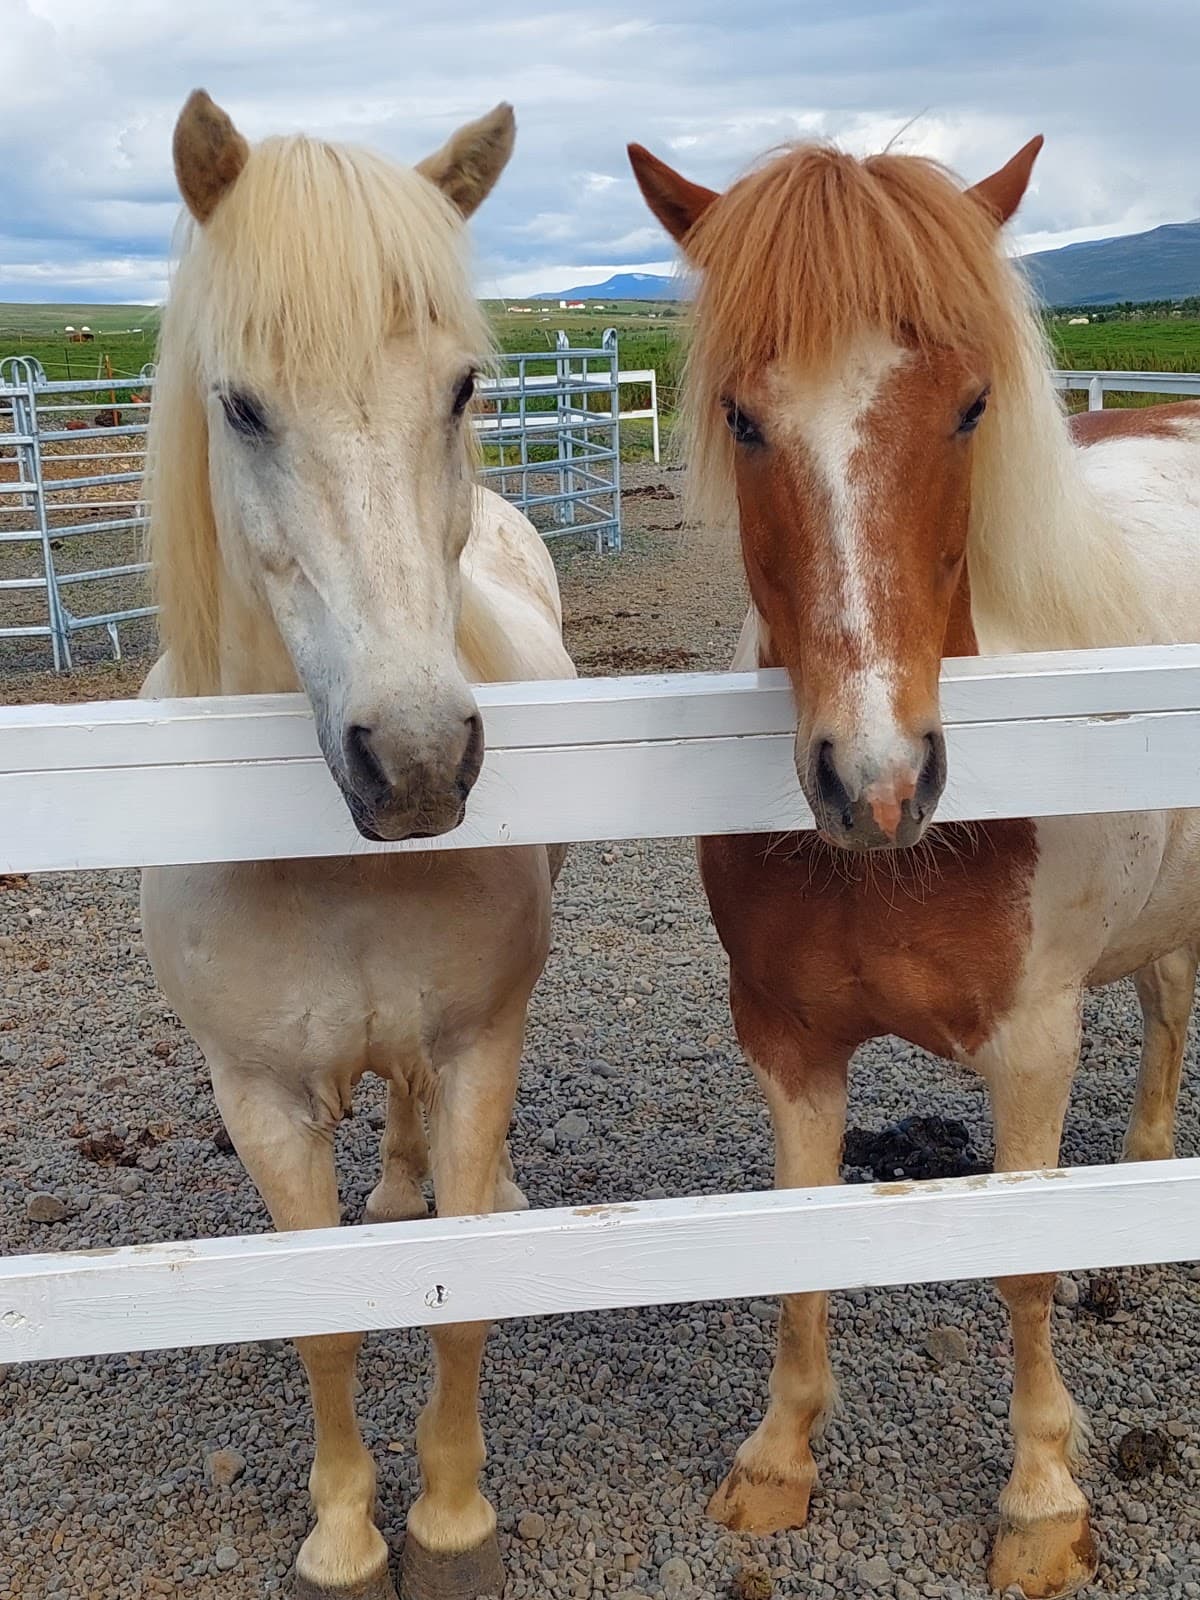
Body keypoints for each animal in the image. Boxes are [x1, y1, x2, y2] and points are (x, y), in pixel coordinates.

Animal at [140, 91, 574, 1600]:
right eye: (242, 405)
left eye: (463, 388)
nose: (421, 761)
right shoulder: (258, 1096)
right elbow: (323, 1317)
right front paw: (342, 1532)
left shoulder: (481, 1039)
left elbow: (462, 1295)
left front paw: (449, 1520)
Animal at [629, 133, 1200, 1597]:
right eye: (742, 419)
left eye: (970, 409)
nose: (874, 782)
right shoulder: (784, 1037)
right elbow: (797, 1239)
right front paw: (779, 1460)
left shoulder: (1034, 1044)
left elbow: (1022, 1269)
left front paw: (1043, 1505)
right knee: (1170, 998)